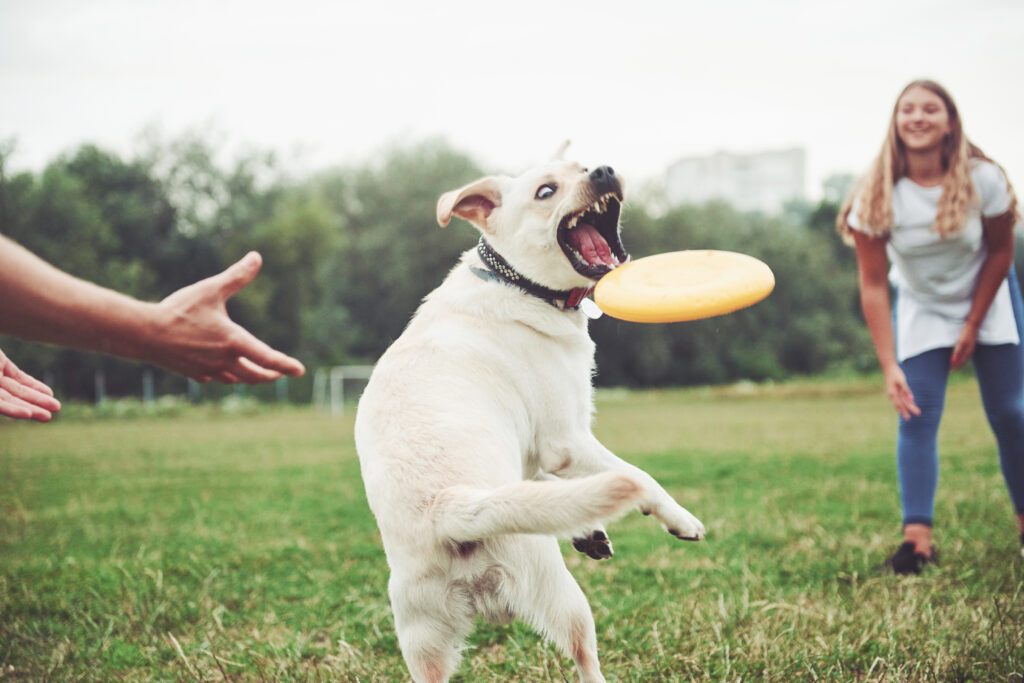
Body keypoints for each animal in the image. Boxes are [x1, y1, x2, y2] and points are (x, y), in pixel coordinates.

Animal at [354, 156, 704, 683]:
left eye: (583, 166)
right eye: (545, 191)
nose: (604, 171)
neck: (517, 282)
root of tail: (447, 508)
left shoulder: (534, 450)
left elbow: (542, 487)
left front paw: (586, 529)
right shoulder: (567, 441)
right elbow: (638, 478)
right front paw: (680, 520)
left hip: (422, 638)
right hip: (559, 594)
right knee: (585, 657)